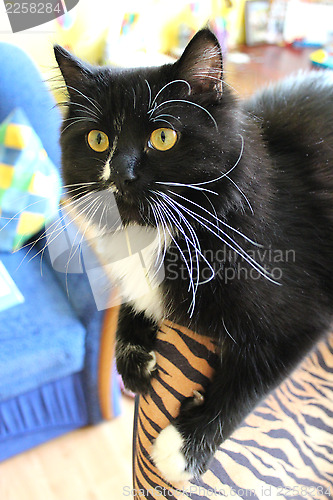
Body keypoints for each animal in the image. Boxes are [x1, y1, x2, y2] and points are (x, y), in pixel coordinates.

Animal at [54, 29, 332, 482]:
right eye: (98, 140)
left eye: (163, 138)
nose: (120, 174)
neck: (160, 233)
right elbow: (134, 299)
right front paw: (133, 359)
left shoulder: (301, 317)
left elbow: (249, 383)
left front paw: (184, 445)